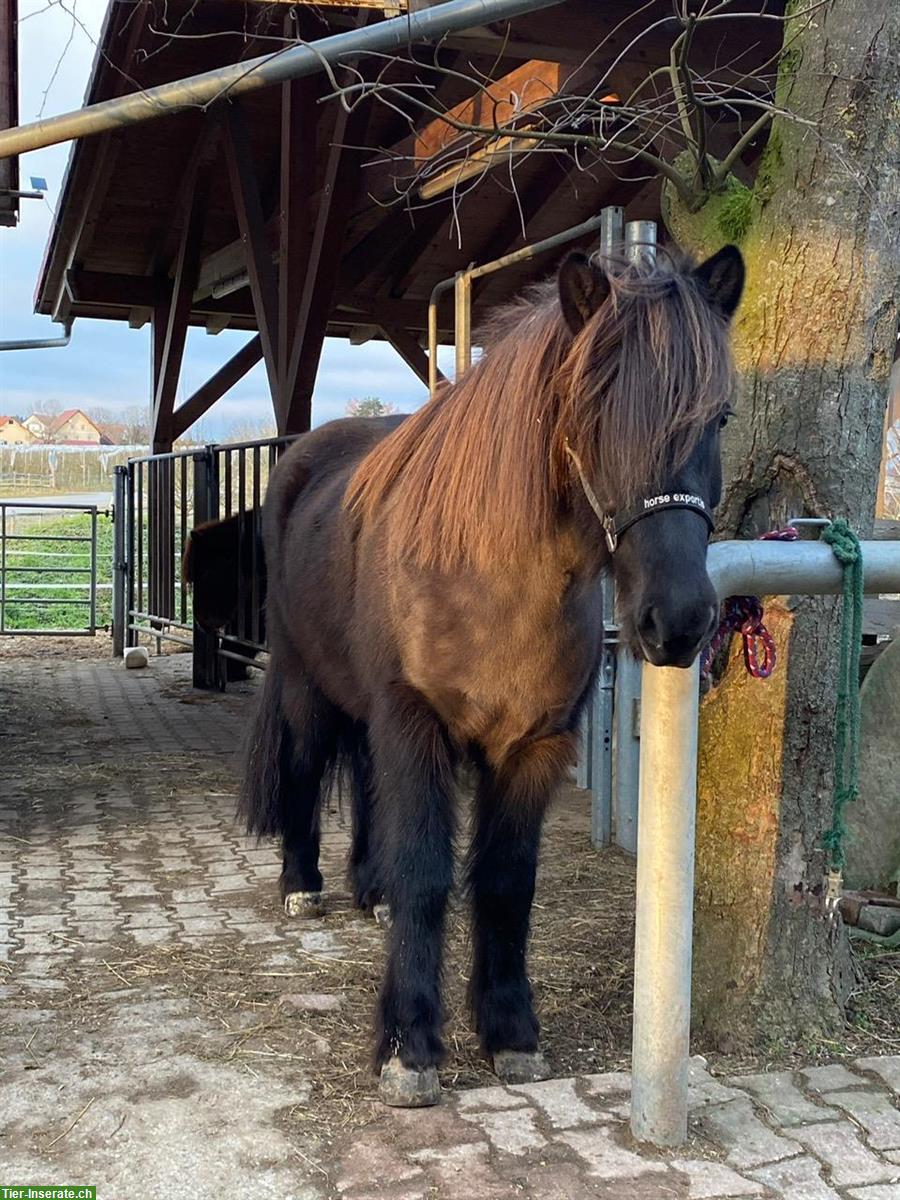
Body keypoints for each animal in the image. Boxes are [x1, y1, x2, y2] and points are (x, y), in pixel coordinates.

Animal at [241, 243, 748, 1104]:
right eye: (594, 410)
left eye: (718, 418)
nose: (678, 620)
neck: (489, 579)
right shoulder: (415, 723)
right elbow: (426, 875)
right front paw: (410, 1049)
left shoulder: (532, 746)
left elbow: (507, 882)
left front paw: (510, 1033)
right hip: (308, 686)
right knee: (307, 769)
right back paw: (303, 886)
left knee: (367, 781)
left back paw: (367, 890)